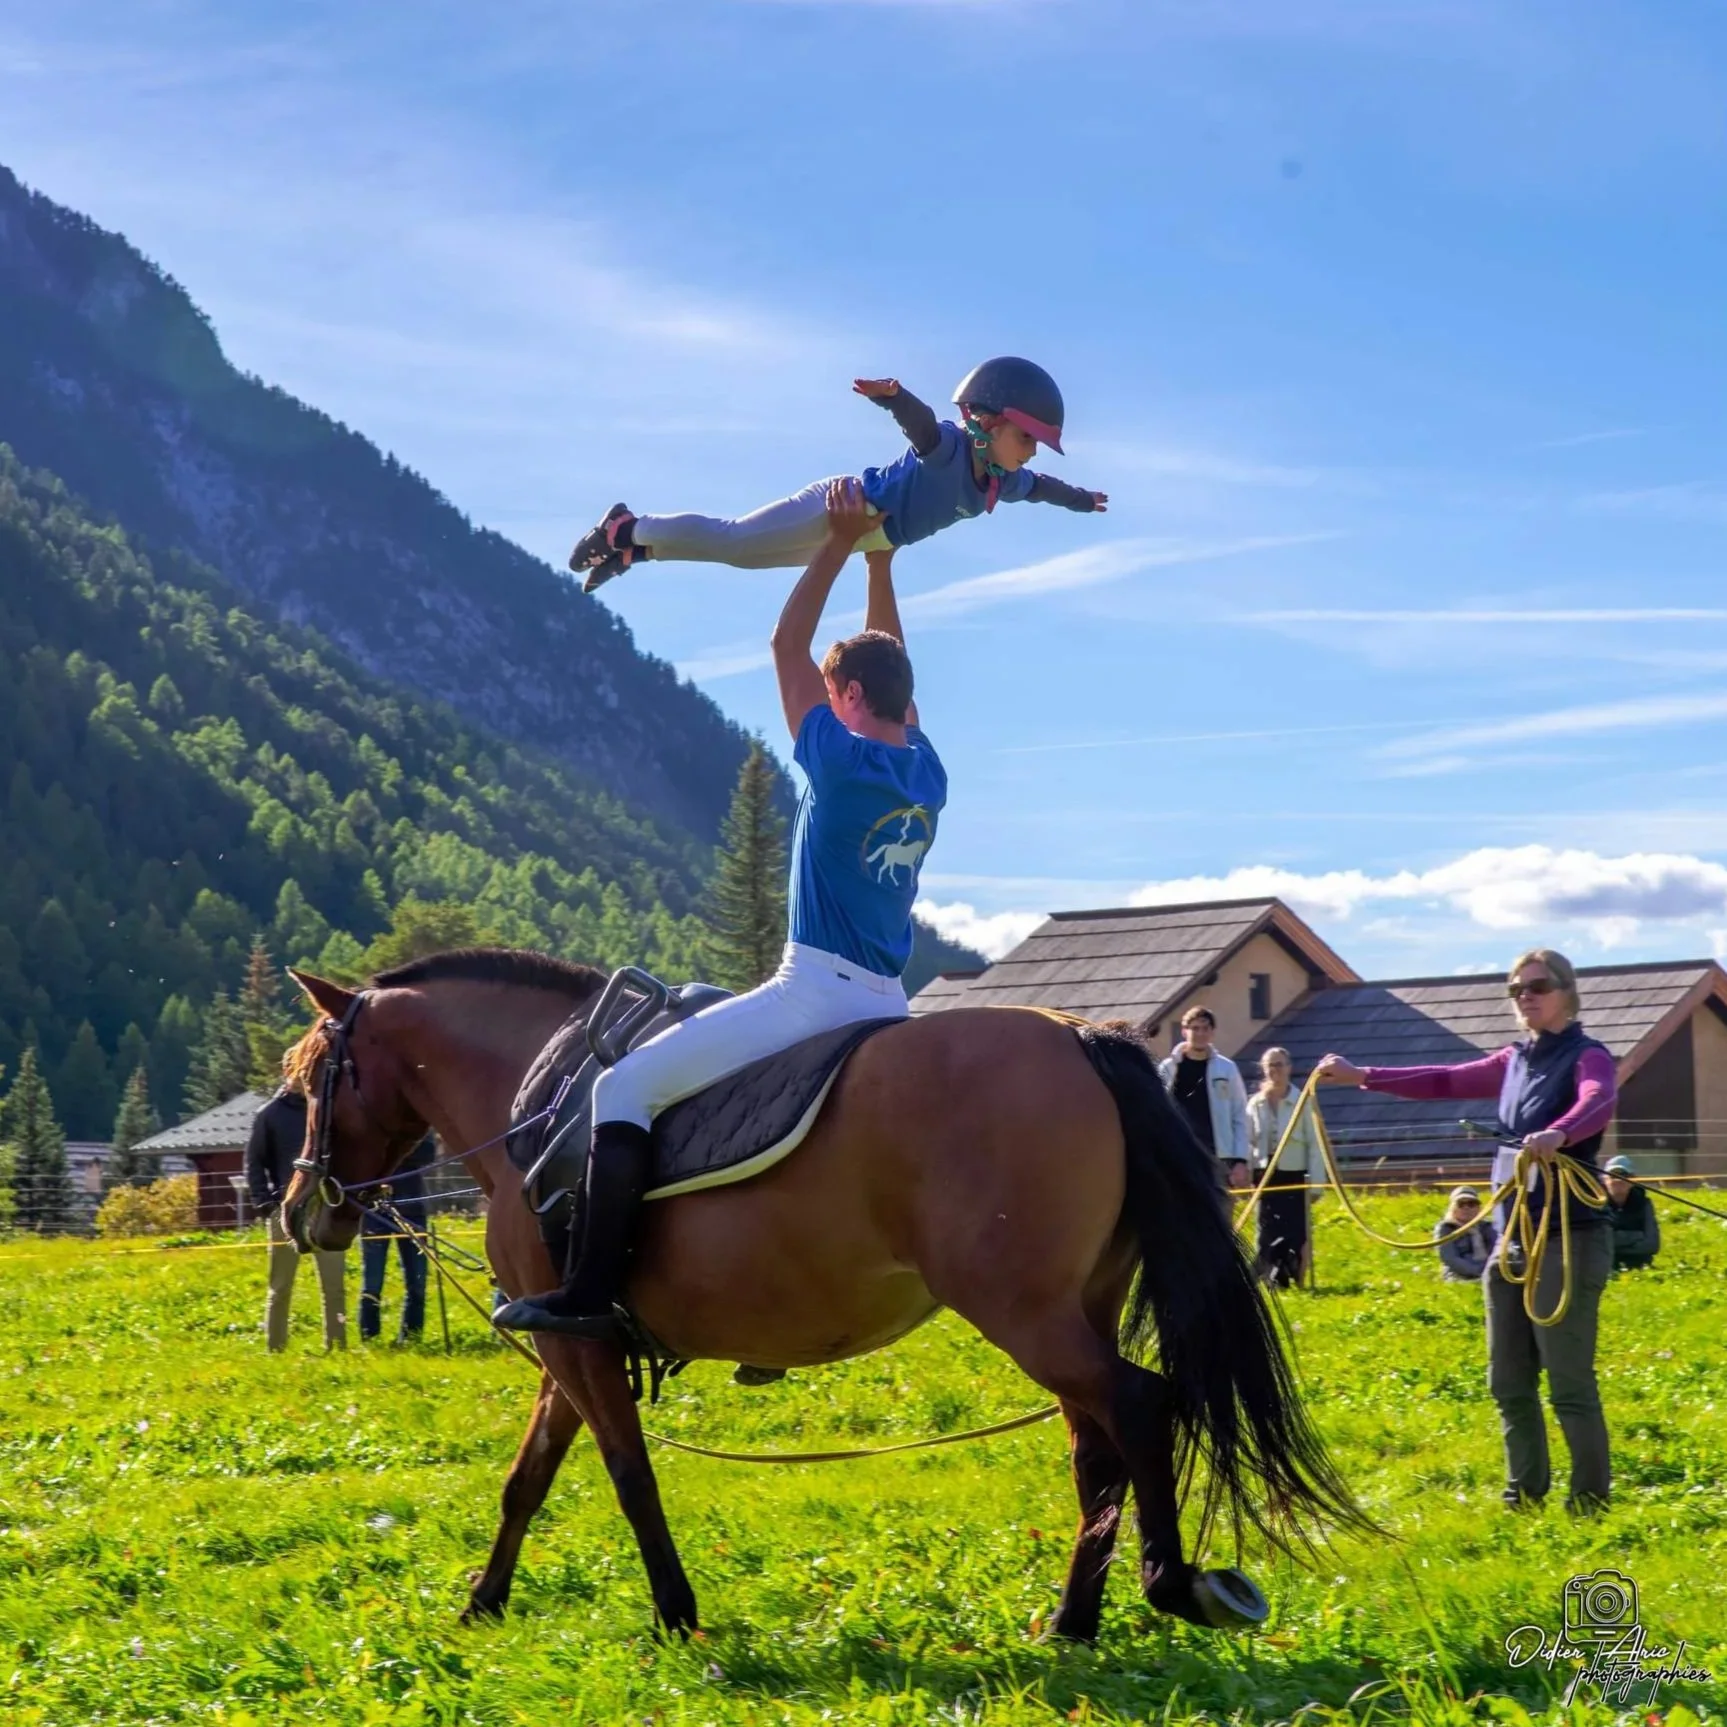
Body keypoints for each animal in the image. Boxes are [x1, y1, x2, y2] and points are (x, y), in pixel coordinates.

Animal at [280, 948, 1370, 1642]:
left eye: (314, 1072)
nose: (301, 1210)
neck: (538, 1094)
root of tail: (1077, 1037)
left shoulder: (573, 1341)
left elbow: (629, 1477)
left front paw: (675, 1616)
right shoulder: (567, 1341)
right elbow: (527, 1479)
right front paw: (482, 1603)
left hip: (1026, 1314)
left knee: (1138, 1406)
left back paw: (1168, 1585)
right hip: (1075, 1308)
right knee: (1095, 1445)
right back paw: (1072, 1620)